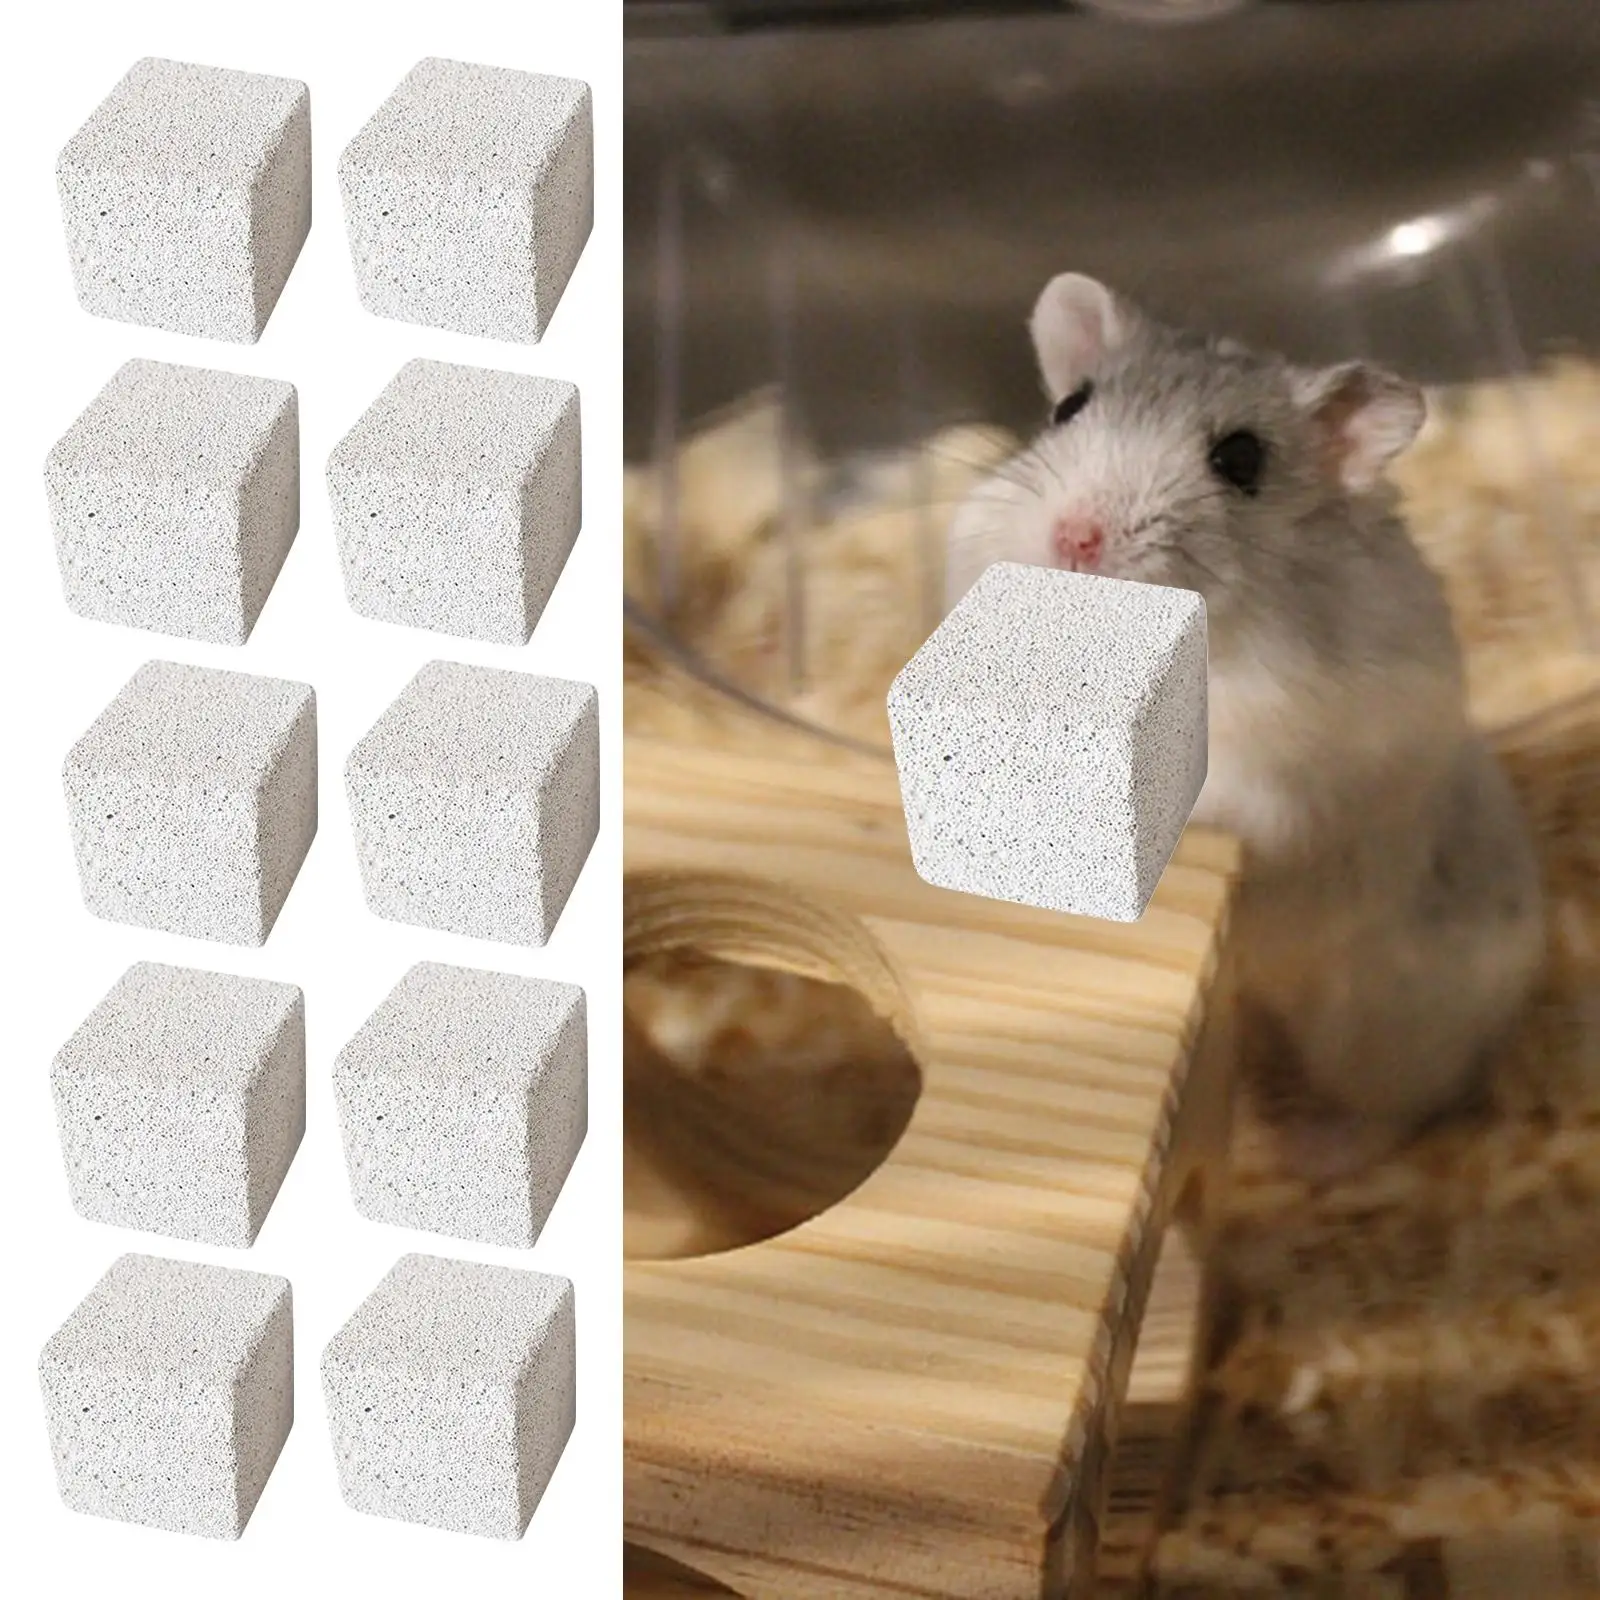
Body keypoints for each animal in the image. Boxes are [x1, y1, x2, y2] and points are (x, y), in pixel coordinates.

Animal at [946, 272, 1547, 1182]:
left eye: (1240, 461)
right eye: (1068, 408)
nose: (1075, 538)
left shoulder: (1286, 765)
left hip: (1373, 1033)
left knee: (1397, 1114)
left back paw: (1295, 1144)